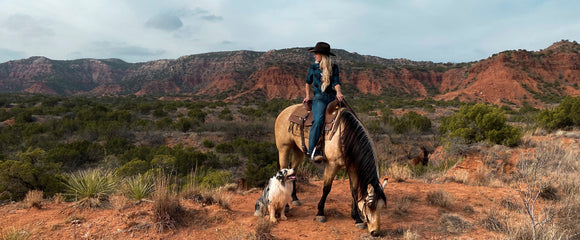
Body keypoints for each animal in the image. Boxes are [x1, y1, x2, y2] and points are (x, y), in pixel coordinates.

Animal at [274, 101, 388, 236]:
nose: (375, 232)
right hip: (284, 148)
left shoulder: (351, 167)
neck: (345, 134)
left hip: (298, 150)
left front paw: (357, 218)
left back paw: (295, 198)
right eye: (370, 205)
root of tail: (285, 111)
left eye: (382, 206)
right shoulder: (332, 165)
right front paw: (320, 213)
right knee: (283, 170)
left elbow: (354, 191)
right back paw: (286, 206)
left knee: (293, 171)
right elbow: (326, 188)